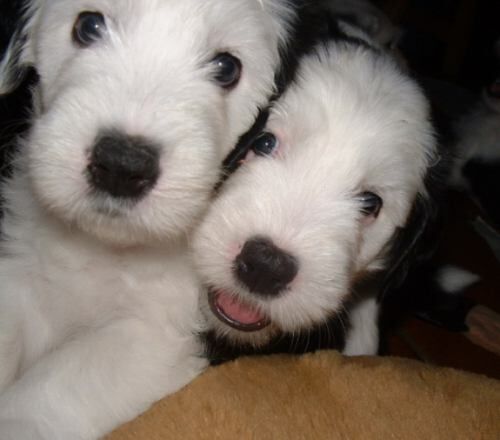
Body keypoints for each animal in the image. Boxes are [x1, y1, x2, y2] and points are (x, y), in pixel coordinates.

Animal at [0, 1, 296, 438]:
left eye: (227, 67)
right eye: (89, 26)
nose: (122, 166)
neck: (106, 248)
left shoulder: (154, 334)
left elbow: (50, 388)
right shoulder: (22, 274)